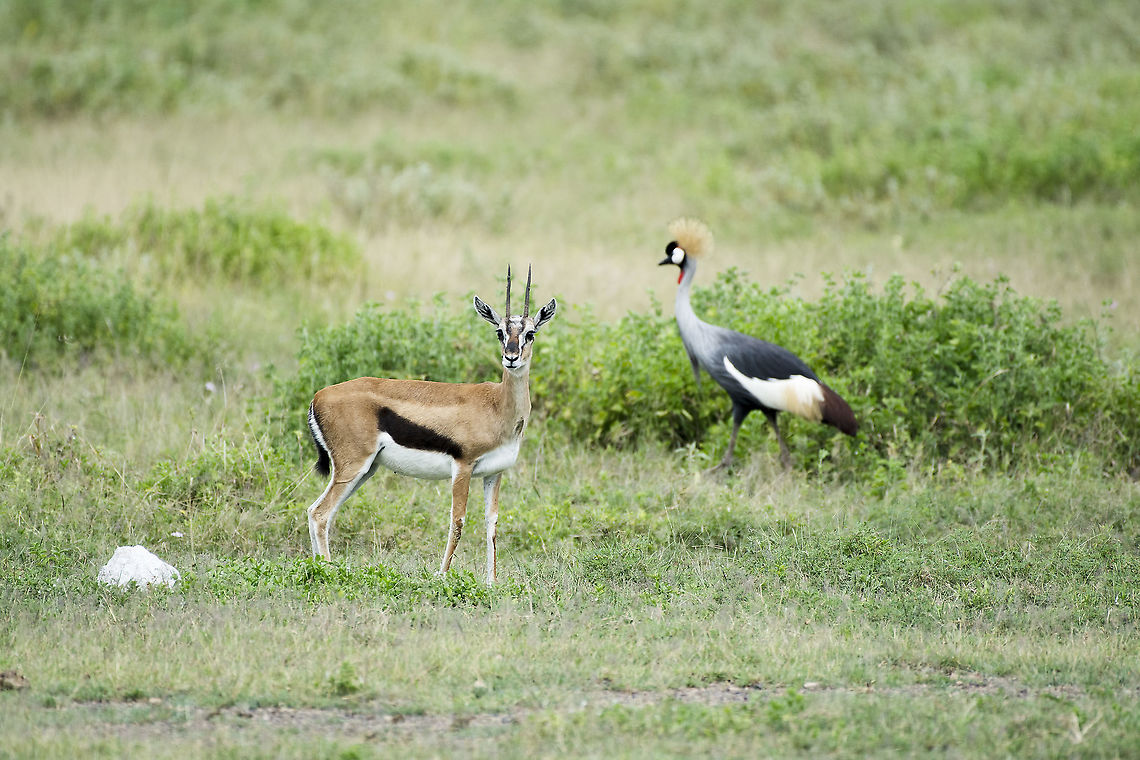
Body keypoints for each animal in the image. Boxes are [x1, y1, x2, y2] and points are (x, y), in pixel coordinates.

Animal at [305, 267, 556, 584]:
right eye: (499, 331)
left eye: (530, 333)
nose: (511, 358)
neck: (497, 406)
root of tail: (319, 396)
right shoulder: (463, 467)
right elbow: (458, 521)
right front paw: (442, 575)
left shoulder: (494, 473)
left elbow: (492, 524)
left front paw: (492, 582)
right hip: (352, 467)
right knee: (320, 513)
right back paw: (327, 571)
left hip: (365, 470)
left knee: (317, 511)